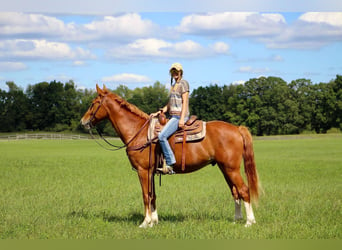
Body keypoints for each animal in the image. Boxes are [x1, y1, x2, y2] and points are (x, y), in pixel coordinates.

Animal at [81, 84, 260, 229]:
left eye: (93, 103)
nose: (83, 122)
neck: (138, 131)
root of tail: (237, 129)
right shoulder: (151, 172)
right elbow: (153, 196)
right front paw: (154, 221)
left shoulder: (143, 171)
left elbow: (145, 195)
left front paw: (145, 222)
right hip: (225, 168)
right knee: (235, 192)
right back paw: (236, 220)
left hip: (231, 168)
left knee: (244, 190)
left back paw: (249, 222)